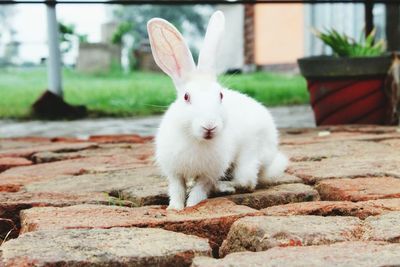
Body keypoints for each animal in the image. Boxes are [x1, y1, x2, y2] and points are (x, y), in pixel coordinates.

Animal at [147, 11, 288, 211]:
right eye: (186, 97)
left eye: (220, 95)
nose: (209, 126)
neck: (196, 139)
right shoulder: (174, 172)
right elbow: (177, 189)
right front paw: (175, 208)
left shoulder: (209, 173)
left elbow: (200, 190)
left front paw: (191, 206)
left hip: (250, 154)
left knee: (247, 182)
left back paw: (224, 187)